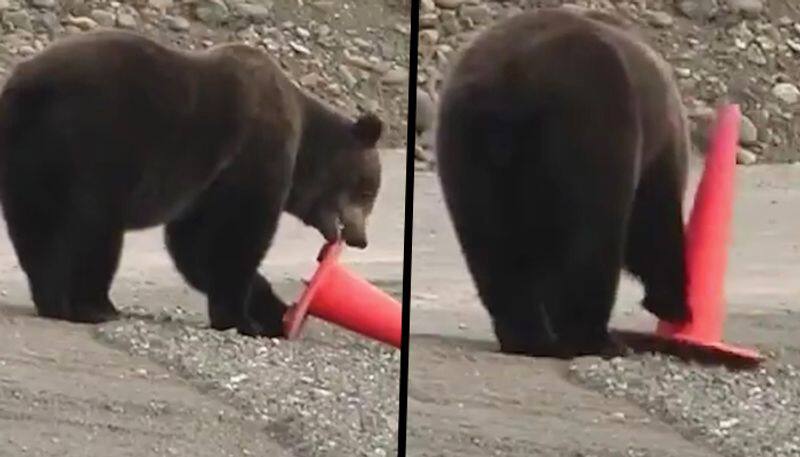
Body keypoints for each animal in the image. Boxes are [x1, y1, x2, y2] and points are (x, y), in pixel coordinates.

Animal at [0, 29, 384, 334]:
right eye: (368, 189)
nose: (360, 238)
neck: (304, 146)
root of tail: (28, 86)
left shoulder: (207, 187)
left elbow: (194, 247)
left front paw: (272, 311)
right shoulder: (252, 156)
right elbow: (235, 237)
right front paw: (243, 319)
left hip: (27, 157)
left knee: (35, 227)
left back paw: (52, 299)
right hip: (96, 144)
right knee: (94, 228)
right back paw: (93, 306)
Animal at [434, 6, 692, 356]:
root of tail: (508, 83)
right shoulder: (654, 151)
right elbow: (652, 225)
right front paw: (674, 303)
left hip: (467, 149)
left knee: (491, 246)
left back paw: (528, 336)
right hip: (591, 117)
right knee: (594, 237)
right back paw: (596, 338)